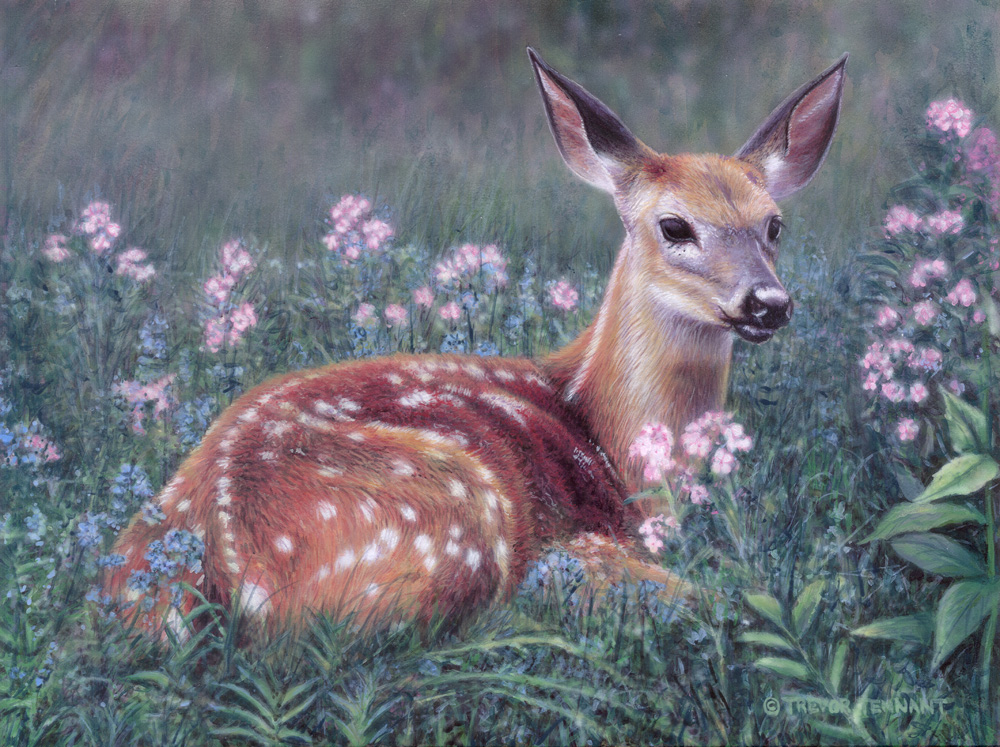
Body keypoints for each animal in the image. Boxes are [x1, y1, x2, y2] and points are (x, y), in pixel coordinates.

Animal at [103, 49, 846, 640]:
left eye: (774, 225)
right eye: (674, 226)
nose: (768, 303)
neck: (609, 438)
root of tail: (215, 556)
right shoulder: (581, 535)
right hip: (453, 517)